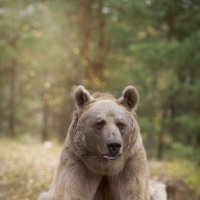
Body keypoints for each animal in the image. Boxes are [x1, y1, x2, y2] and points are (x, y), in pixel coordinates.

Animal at [38, 85, 166, 200]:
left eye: (121, 124)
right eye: (99, 123)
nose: (114, 145)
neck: (106, 167)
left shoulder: (131, 161)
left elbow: (134, 191)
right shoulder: (77, 161)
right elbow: (71, 191)